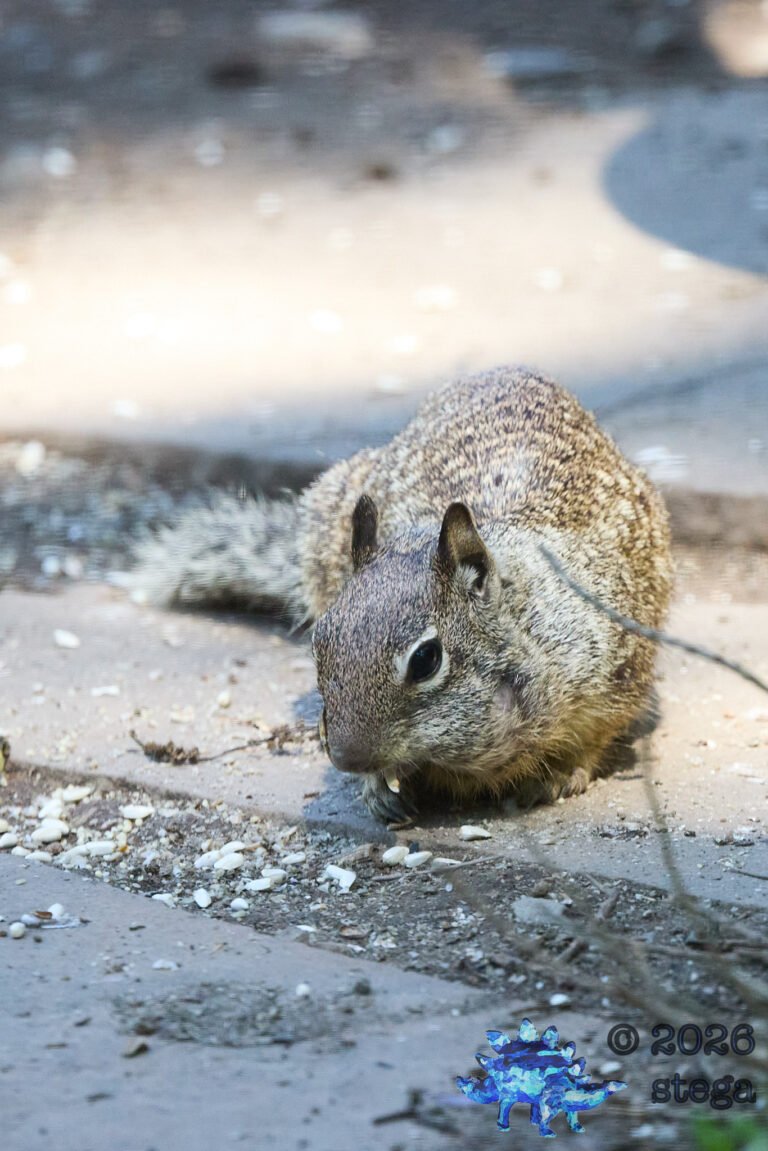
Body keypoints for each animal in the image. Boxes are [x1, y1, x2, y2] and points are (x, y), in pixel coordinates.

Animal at [137, 366, 673, 823]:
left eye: (426, 659)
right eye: (318, 647)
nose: (347, 757)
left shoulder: (614, 668)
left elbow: (596, 735)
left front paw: (562, 776)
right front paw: (377, 788)